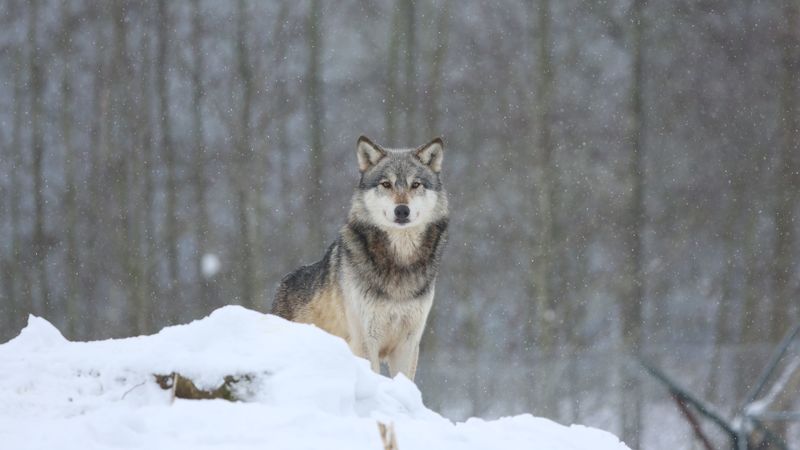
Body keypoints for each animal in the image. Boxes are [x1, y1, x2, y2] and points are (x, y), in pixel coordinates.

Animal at [271, 136, 449, 380]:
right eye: (386, 184)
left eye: (415, 184)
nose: (402, 210)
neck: (399, 262)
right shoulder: (365, 341)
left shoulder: (408, 344)